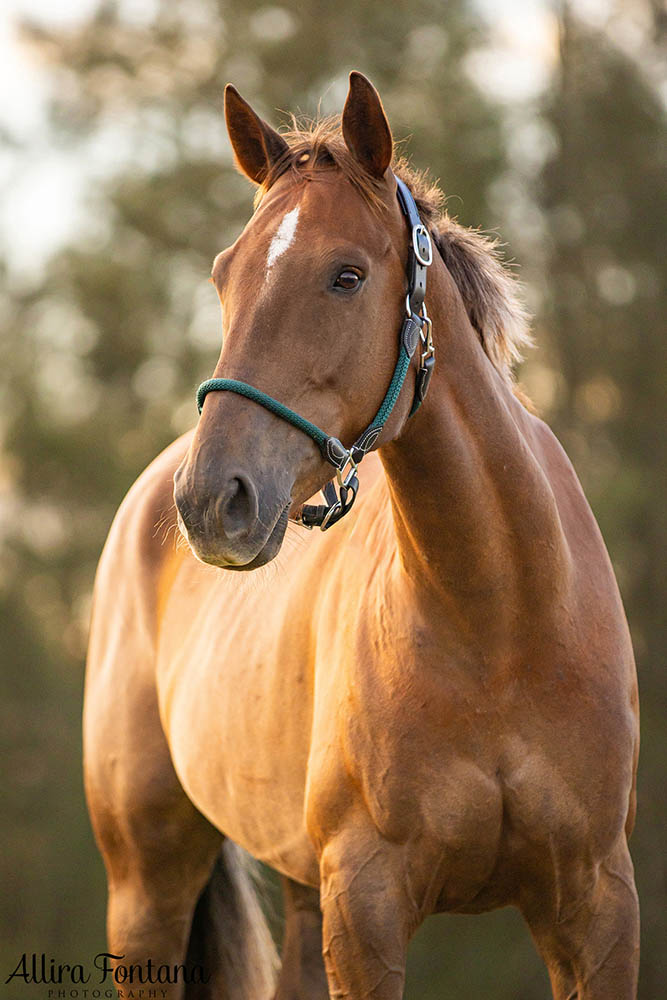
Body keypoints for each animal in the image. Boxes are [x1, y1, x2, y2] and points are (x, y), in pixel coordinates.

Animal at [85, 72, 640, 1000]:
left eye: (344, 276)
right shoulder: (366, 905)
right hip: (148, 887)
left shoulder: (595, 905)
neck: (502, 624)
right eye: (225, 276)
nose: (211, 500)